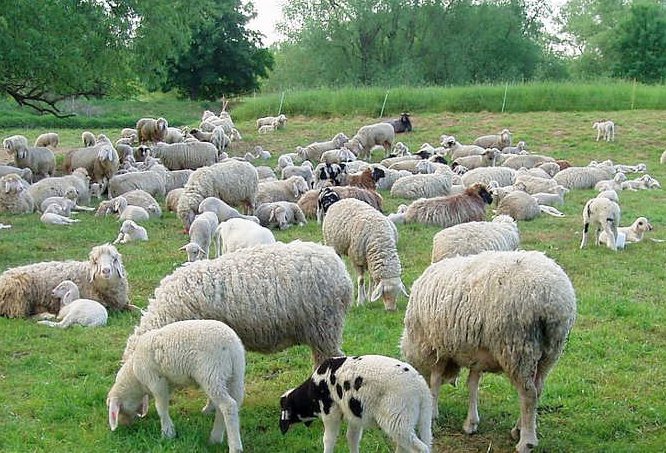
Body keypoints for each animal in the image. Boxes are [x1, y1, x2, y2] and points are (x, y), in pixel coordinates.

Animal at [0, 243, 129, 318]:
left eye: (114, 259)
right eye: (95, 261)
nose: (106, 271)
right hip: (17, 302)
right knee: (22, 317)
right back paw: (46, 316)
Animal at [108, 320, 244, 450]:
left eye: (119, 409)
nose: (126, 425)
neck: (135, 376)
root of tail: (231, 344)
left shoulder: (156, 381)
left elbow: (161, 407)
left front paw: (167, 433)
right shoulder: (168, 383)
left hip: (212, 373)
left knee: (228, 406)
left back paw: (234, 446)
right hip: (235, 375)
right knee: (231, 404)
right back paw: (215, 438)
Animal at [280, 355, 432, 453]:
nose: (282, 429)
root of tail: (421, 388)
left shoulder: (330, 413)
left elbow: (328, 440)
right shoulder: (354, 415)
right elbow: (352, 438)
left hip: (397, 418)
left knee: (420, 448)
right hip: (422, 419)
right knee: (417, 443)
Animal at [400, 250, 576, 453]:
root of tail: (552, 298)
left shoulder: (436, 349)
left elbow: (435, 383)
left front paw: (433, 415)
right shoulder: (475, 355)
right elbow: (472, 385)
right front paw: (471, 423)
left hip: (517, 347)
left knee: (529, 394)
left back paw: (526, 441)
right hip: (550, 352)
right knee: (538, 389)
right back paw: (519, 428)